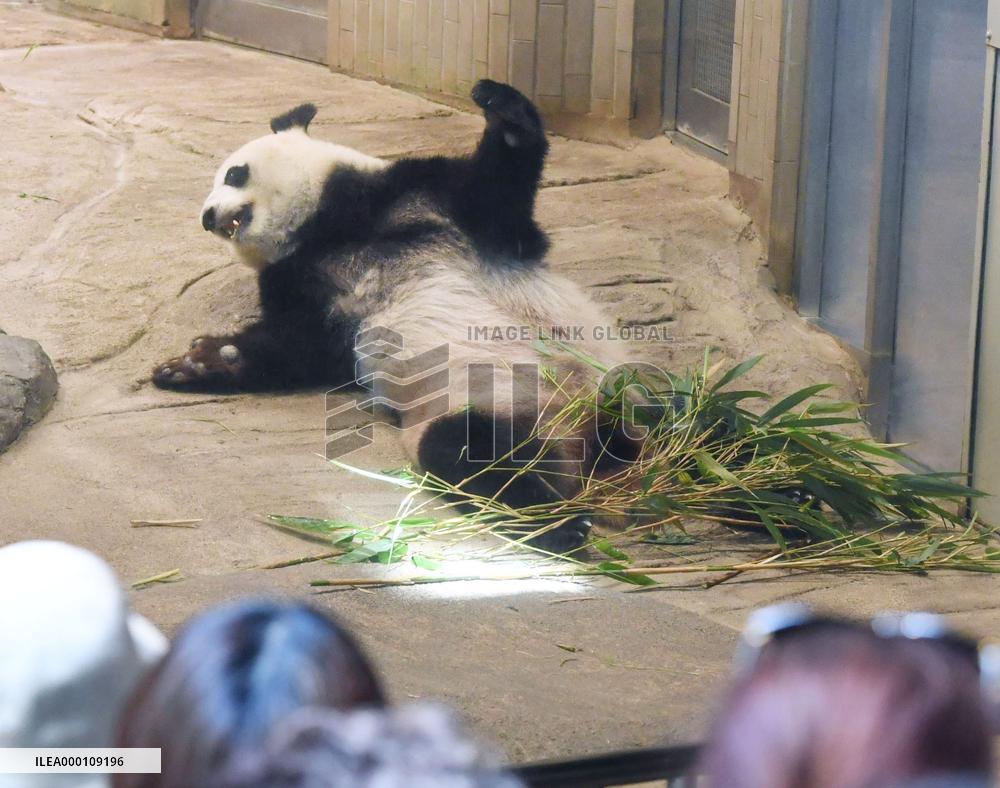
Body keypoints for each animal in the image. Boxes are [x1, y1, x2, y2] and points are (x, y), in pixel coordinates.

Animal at [152, 80, 633, 553]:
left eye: (234, 174)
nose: (207, 216)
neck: (326, 229)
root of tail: (583, 437)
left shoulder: (424, 198)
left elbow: (500, 196)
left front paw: (500, 106)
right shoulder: (304, 290)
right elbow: (299, 347)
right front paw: (198, 362)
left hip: (602, 378)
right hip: (489, 400)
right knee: (469, 451)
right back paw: (556, 522)